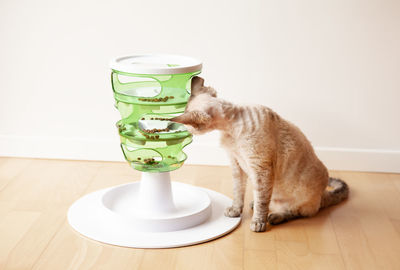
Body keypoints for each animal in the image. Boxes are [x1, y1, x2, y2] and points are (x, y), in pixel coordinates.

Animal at [173, 76, 348, 232]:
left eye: (189, 127)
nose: (186, 132)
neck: (231, 129)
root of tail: (322, 195)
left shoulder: (260, 169)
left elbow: (261, 202)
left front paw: (258, 223)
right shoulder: (237, 164)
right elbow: (239, 193)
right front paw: (235, 211)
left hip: (302, 198)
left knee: (295, 211)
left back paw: (274, 217)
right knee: (268, 200)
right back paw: (256, 206)